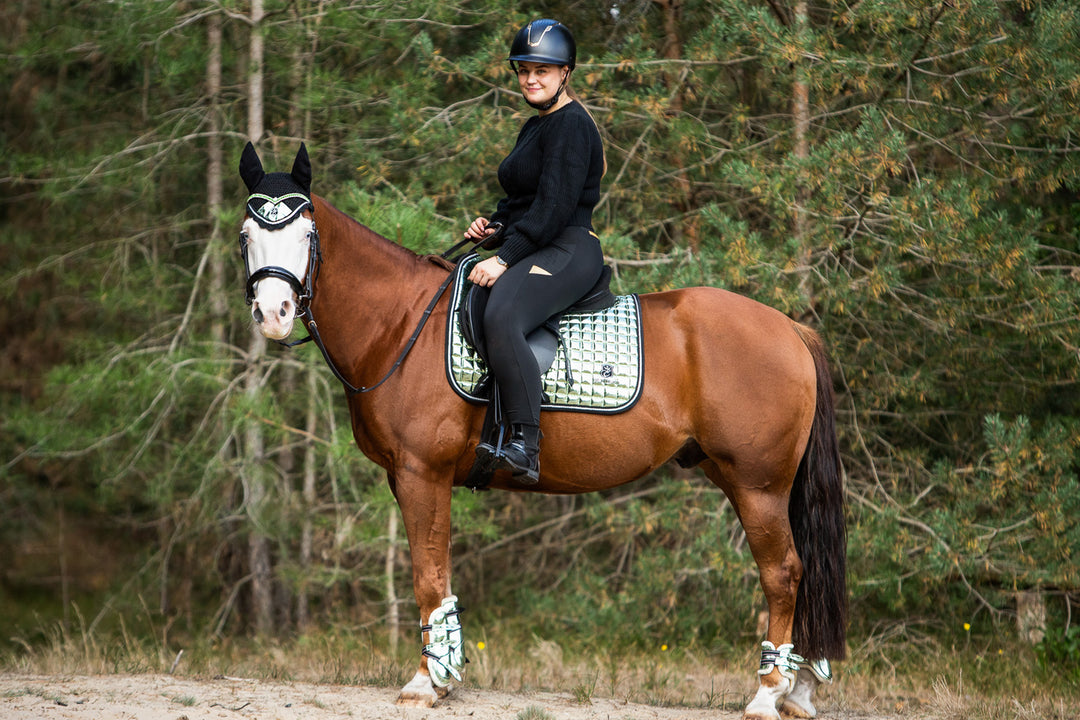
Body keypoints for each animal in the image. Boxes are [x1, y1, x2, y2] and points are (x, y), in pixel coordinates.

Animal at [236, 144, 842, 720]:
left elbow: (428, 578)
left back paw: (767, 694)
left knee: (784, 574)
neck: (402, 322)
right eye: (247, 235)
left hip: (758, 486)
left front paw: (425, 684)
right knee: (806, 574)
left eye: (306, 234)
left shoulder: (420, 474)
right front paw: (445, 676)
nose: (274, 313)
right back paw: (799, 691)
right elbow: (441, 574)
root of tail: (791, 327)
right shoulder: (413, 479)